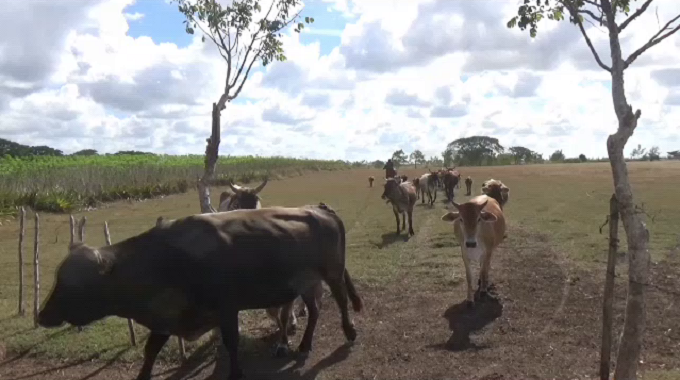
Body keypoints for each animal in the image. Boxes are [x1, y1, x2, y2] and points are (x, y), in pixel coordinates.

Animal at [38, 203, 362, 380]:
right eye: (57, 278)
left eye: (74, 284)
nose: (42, 316)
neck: (166, 260)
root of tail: (319, 209)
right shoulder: (166, 317)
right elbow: (150, 350)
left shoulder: (226, 308)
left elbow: (231, 343)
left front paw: (236, 372)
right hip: (307, 283)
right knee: (315, 310)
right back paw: (304, 344)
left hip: (332, 274)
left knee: (342, 302)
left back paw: (349, 331)